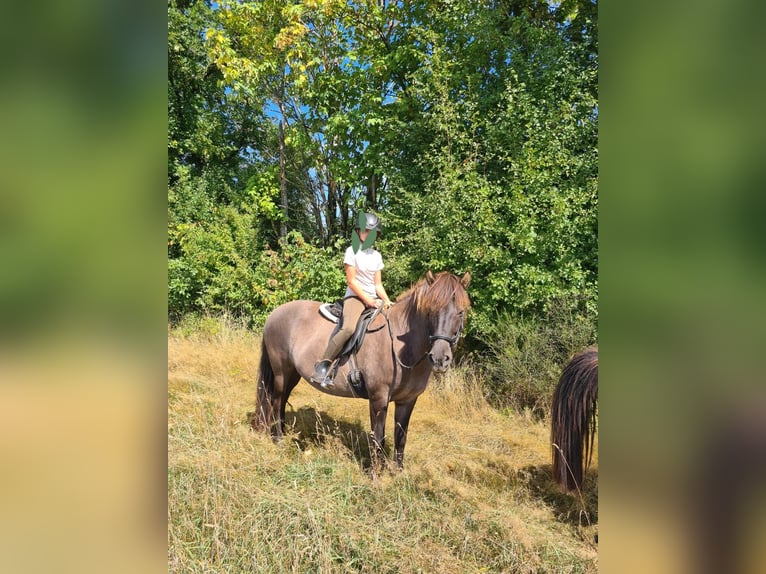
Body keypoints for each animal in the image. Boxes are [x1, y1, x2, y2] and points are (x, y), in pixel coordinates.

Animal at [253, 270, 471, 470]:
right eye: (430, 310)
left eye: (461, 312)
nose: (440, 358)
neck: (401, 348)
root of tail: (275, 313)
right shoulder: (378, 398)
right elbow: (378, 437)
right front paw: (375, 475)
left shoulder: (407, 401)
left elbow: (401, 437)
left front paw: (398, 473)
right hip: (281, 372)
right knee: (276, 400)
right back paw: (278, 439)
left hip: (293, 374)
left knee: (281, 401)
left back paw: (282, 433)